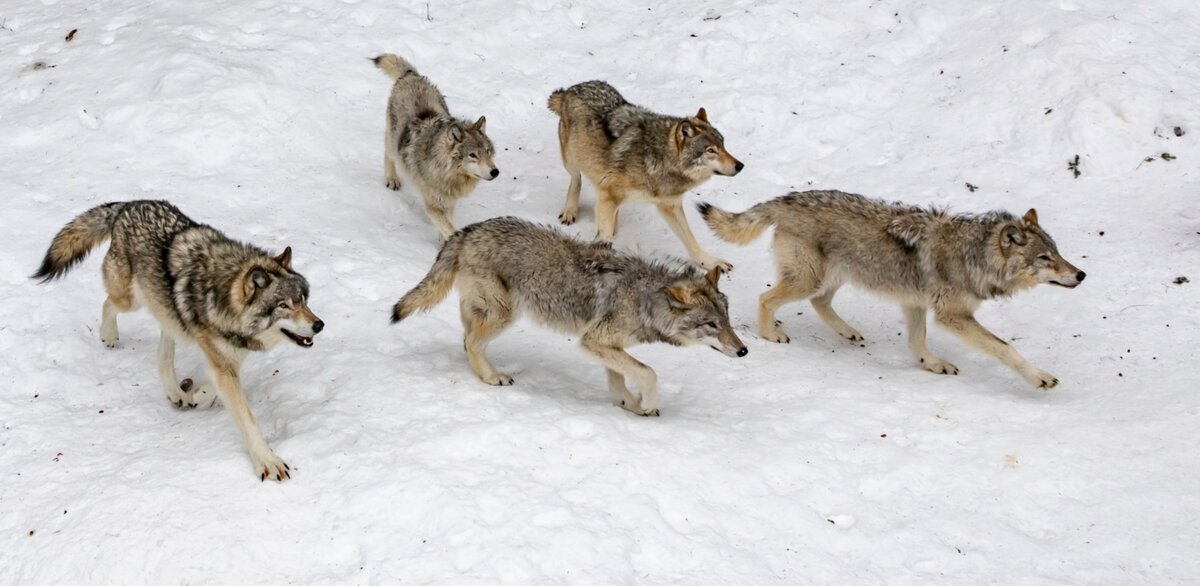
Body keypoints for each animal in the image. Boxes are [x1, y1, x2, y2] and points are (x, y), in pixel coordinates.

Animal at [374, 52, 496, 240]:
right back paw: (391, 179)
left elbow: (446, 228)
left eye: (488, 152)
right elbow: (450, 229)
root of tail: (411, 76)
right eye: (473, 155)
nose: (495, 172)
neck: (447, 174)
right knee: (388, 152)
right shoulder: (433, 207)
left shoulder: (450, 203)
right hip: (393, 139)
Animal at [393, 216, 744, 415]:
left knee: (465, 337)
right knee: (471, 342)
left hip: (488, 310)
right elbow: (649, 373)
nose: (743, 351)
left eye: (727, 320)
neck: (644, 298)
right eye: (711, 324)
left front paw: (629, 405)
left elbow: (620, 379)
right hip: (505, 314)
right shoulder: (593, 341)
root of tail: (467, 230)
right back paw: (493, 377)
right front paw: (646, 403)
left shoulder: (606, 345)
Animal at [547, 81, 739, 271]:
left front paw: (711, 263)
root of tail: (572, 88)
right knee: (576, 180)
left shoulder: (670, 206)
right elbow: (605, 236)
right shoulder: (609, 195)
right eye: (710, 150)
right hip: (572, 160)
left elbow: (691, 242)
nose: (740, 165)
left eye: (723, 144)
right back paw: (570, 211)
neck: (657, 159)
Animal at [700, 188, 1084, 389]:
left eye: (1058, 252)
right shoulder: (952, 317)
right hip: (809, 279)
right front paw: (1039, 378)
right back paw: (771, 334)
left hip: (834, 277)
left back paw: (848, 332)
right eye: (1045, 258)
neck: (974, 256)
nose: (1081, 275)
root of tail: (787, 198)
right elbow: (1005, 348)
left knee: (820, 303)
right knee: (767, 298)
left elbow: (917, 342)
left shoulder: (915, 303)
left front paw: (931, 364)